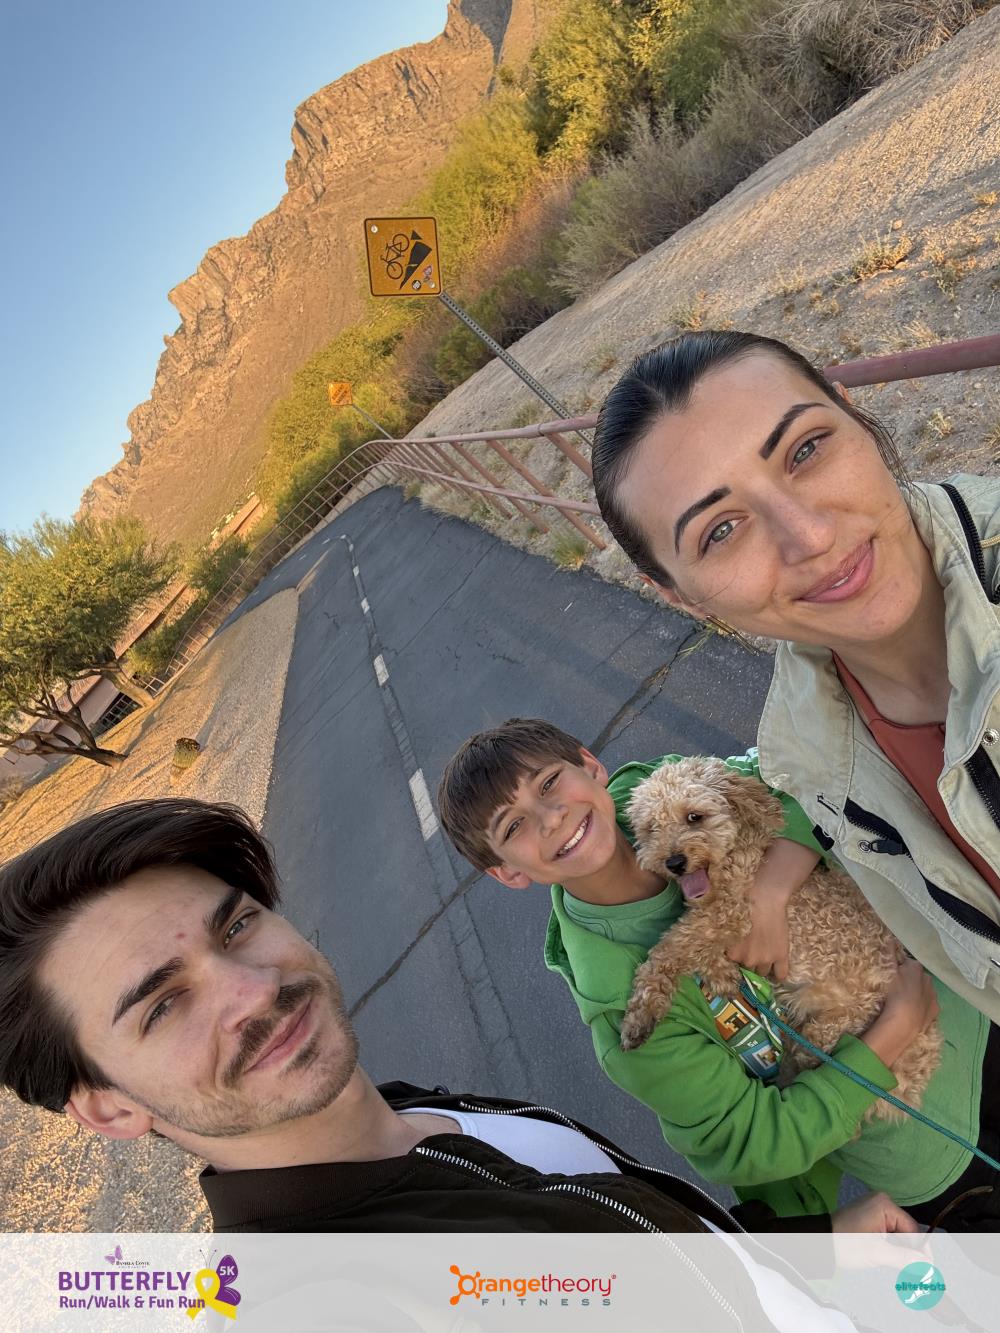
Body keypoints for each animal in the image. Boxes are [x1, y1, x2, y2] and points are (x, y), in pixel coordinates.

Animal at [619, 757, 941, 1121]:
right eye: (650, 829)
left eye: (694, 817)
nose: (674, 862)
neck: (736, 853)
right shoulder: (717, 919)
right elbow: (696, 949)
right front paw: (721, 974)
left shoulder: (730, 914)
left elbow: (668, 950)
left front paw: (641, 1015)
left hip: (833, 1028)